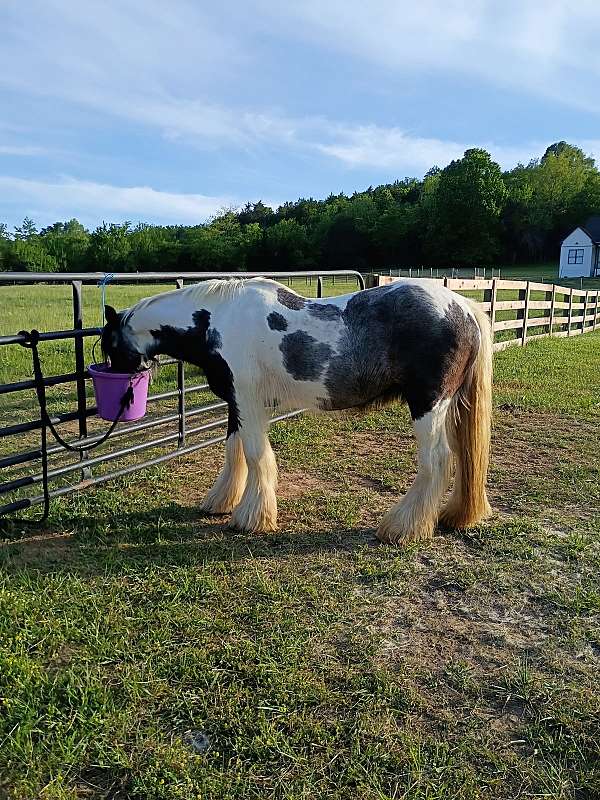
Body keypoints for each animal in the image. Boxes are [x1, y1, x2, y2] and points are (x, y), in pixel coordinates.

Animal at [101, 277, 493, 544]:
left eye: (109, 345)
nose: (120, 396)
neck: (217, 322)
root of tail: (463, 307)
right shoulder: (236, 402)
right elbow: (234, 451)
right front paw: (222, 500)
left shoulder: (248, 401)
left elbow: (256, 455)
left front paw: (252, 518)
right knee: (461, 456)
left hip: (428, 404)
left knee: (436, 461)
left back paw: (401, 528)